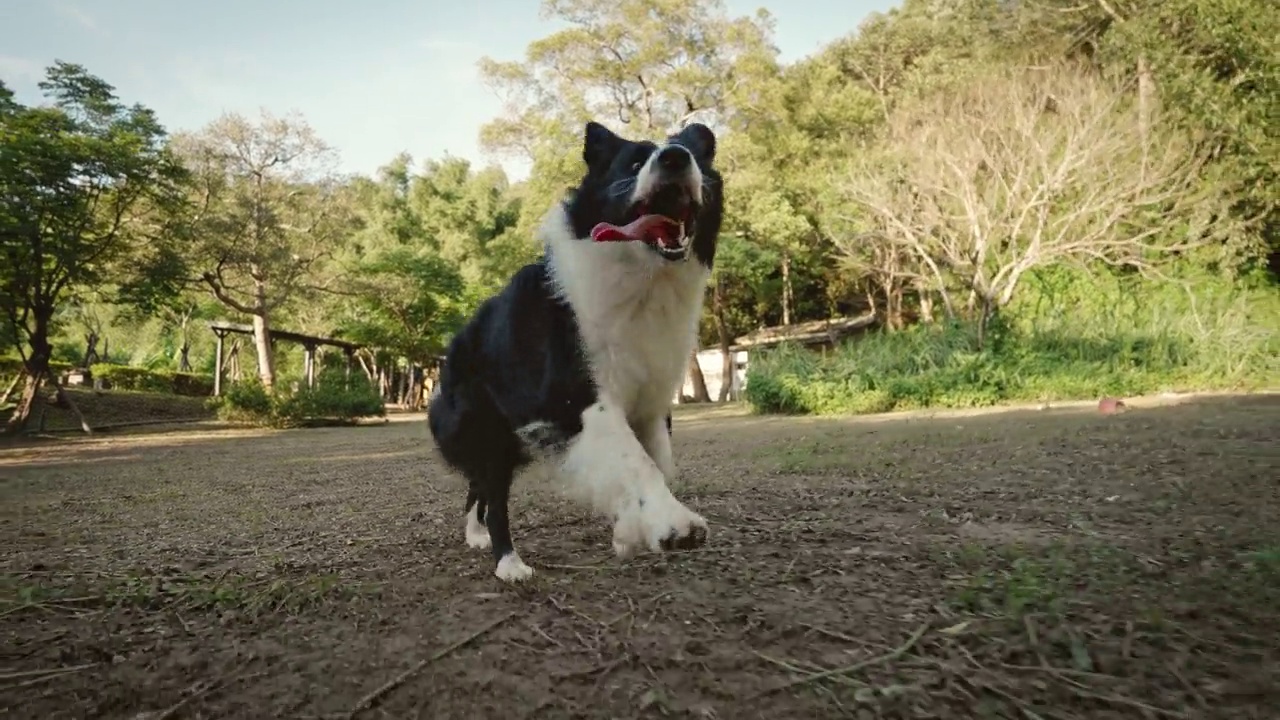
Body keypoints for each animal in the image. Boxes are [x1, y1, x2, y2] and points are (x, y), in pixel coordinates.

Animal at [427, 120, 721, 579]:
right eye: (633, 163)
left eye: (695, 158)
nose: (674, 157)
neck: (644, 278)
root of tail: (454, 343)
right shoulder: (578, 400)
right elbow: (636, 461)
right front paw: (675, 524)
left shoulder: (652, 400)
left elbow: (656, 460)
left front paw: (631, 529)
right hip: (489, 427)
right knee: (494, 494)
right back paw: (508, 563)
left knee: (481, 486)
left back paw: (476, 535)